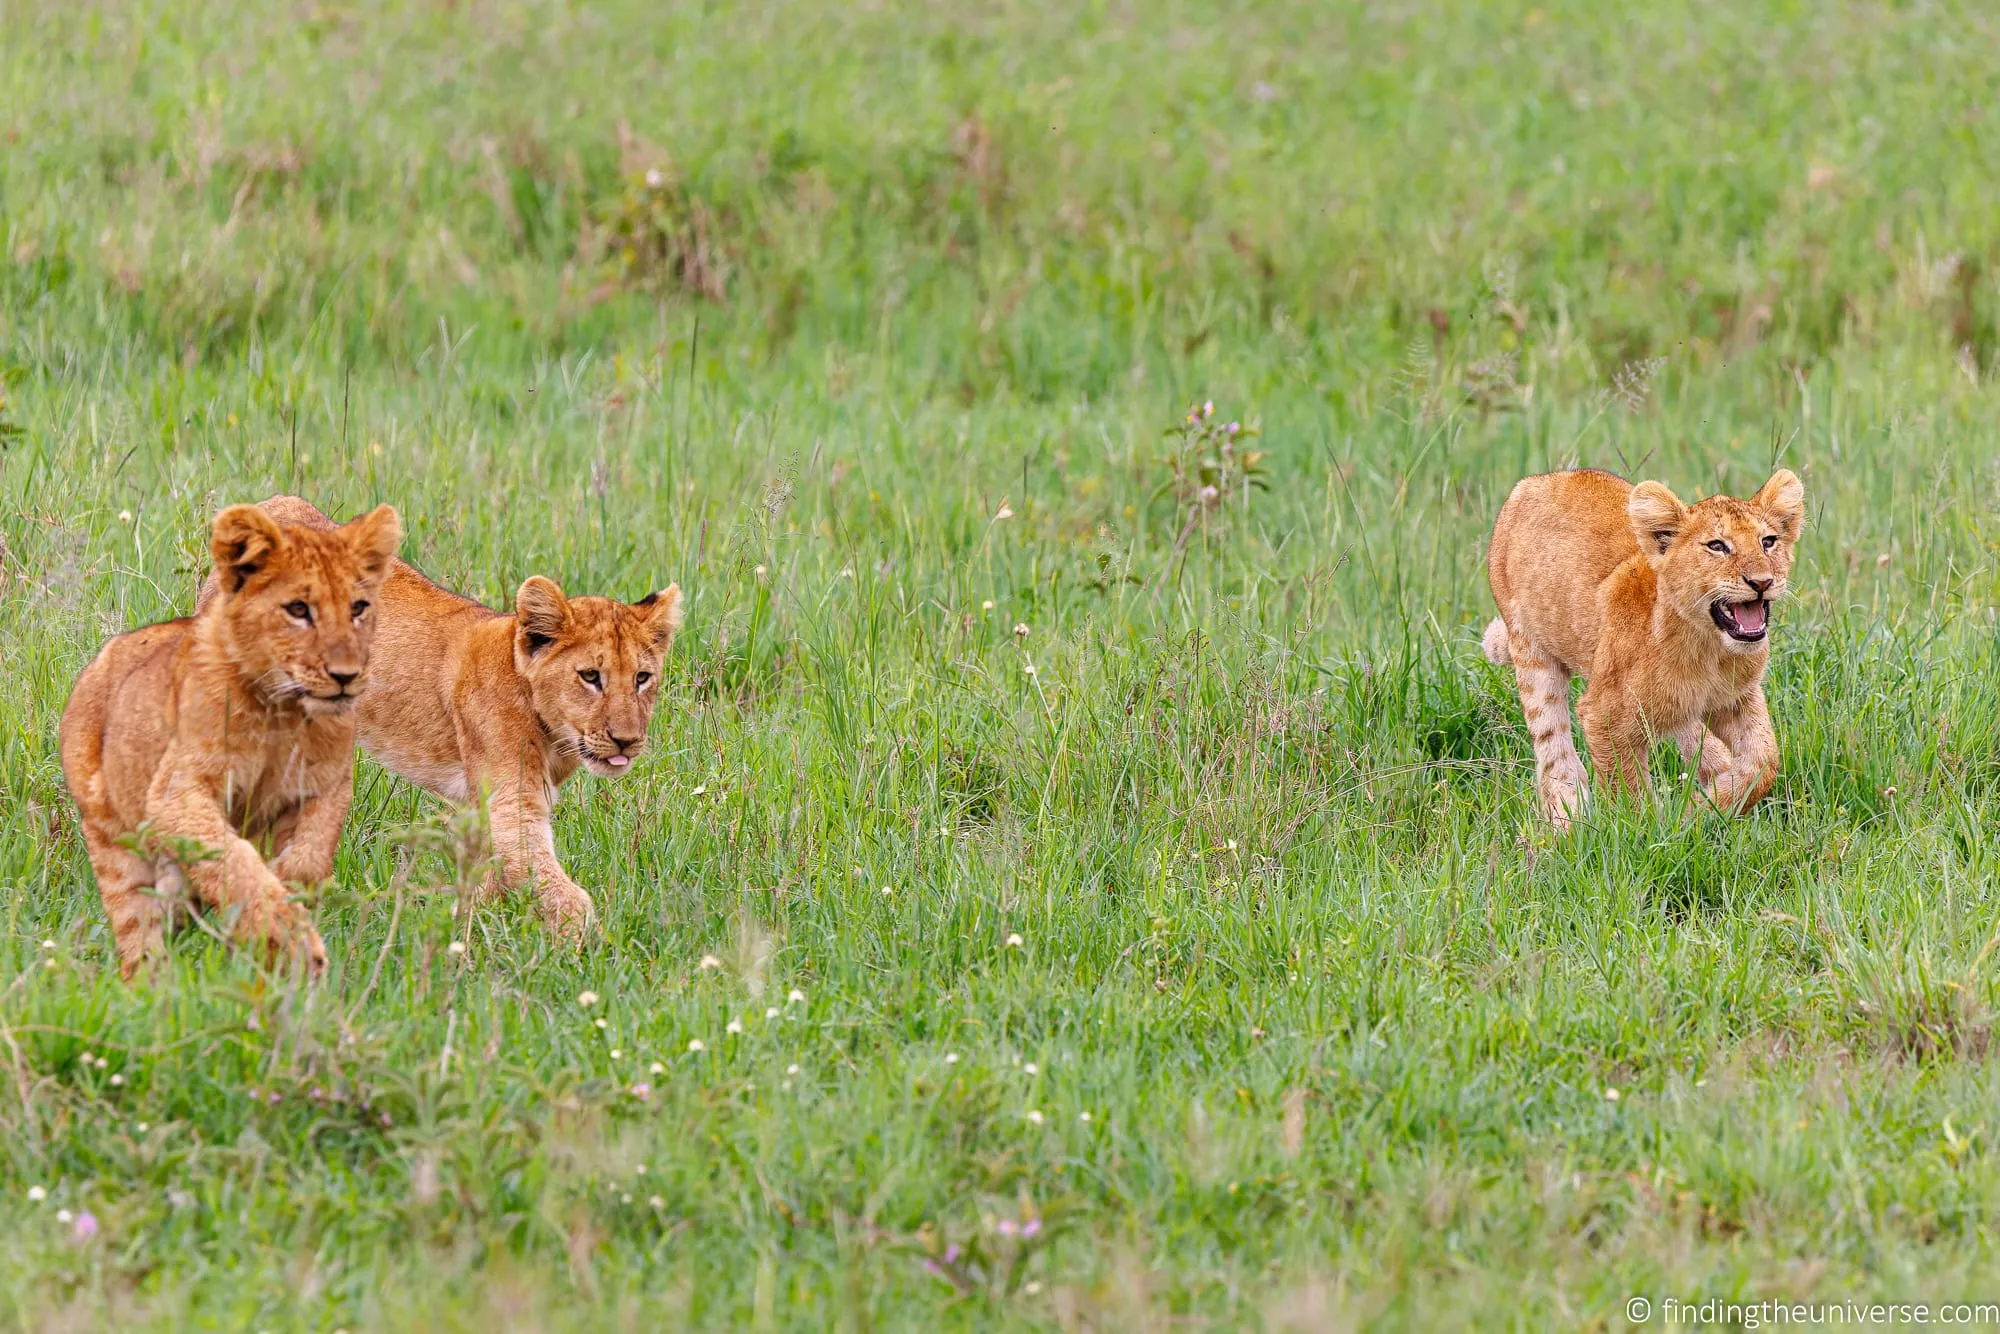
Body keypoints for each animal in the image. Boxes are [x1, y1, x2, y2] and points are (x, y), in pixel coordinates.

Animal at [60, 502, 402, 978]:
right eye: (298, 609)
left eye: (358, 608)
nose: (345, 676)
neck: (282, 712)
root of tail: (98, 663)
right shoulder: (176, 793)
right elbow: (232, 859)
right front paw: (287, 936)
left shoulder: (326, 787)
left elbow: (308, 859)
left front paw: (289, 897)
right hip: (113, 843)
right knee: (138, 941)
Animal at [198, 496, 685, 934]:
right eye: (590, 676)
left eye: (642, 678)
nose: (626, 741)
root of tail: (270, 504)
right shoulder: (511, 802)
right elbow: (557, 889)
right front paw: (589, 953)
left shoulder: (489, 802)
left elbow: (489, 879)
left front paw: (466, 933)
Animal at [1483, 467, 1805, 827]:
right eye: (1717, 546)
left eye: (1768, 542)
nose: (1762, 582)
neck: (1709, 649)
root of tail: (1532, 482)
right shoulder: (1603, 714)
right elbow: (1629, 796)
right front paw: (1658, 828)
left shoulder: (1737, 697)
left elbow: (1763, 761)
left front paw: (1702, 809)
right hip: (1532, 655)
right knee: (1557, 758)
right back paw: (1566, 825)